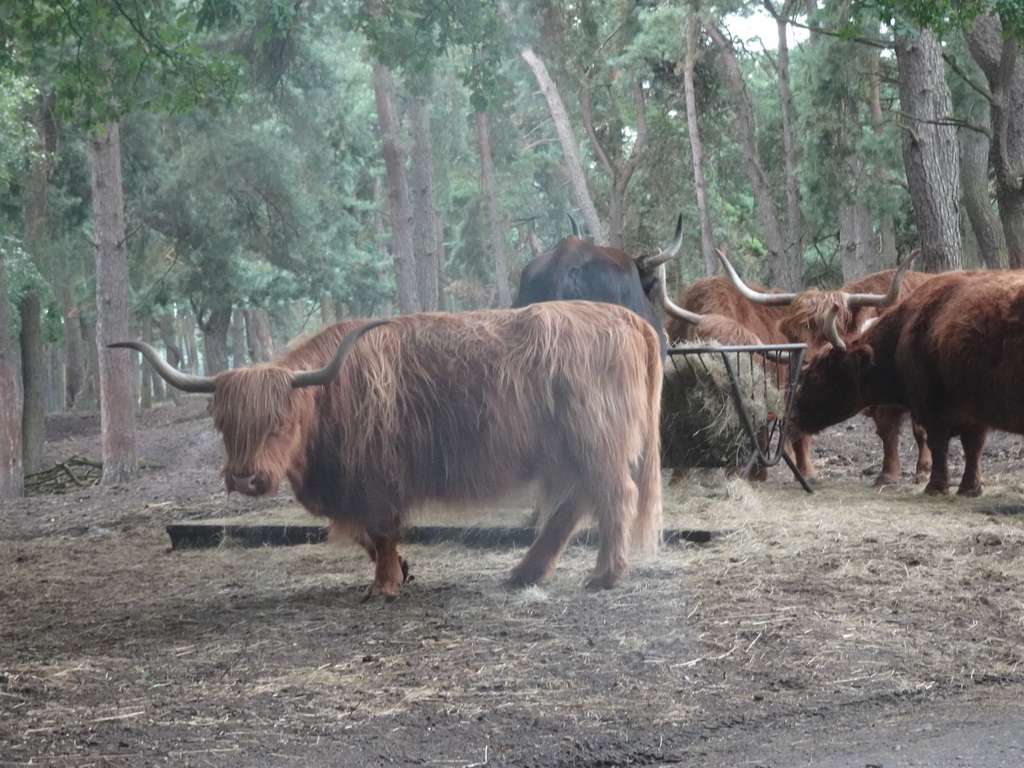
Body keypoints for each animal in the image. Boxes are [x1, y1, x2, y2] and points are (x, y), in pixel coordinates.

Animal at [114, 301, 663, 602]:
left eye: (278, 423)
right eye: (223, 424)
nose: (246, 478)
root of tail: (627, 317)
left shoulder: (376, 478)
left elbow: (379, 531)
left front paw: (383, 586)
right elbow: (369, 536)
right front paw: (402, 570)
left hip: (597, 442)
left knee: (613, 496)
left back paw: (604, 576)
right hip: (570, 451)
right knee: (576, 504)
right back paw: (524, 573)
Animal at [798, 270, 1024, 499]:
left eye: (815, 377)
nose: (794, 412)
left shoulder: (931, 407)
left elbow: (938, 444)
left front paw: (935, 486)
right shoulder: (973, 412)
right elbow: (972, 447)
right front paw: (970, 487)